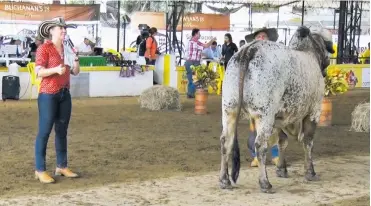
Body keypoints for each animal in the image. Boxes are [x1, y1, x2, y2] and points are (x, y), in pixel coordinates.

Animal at [219, 26, 336, 193]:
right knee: (260, 144)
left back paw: (224, 180)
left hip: (230, 109)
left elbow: (282, 142)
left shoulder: (280, 117)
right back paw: (265, 183)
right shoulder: (314, 111)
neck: (308, 52)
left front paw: (281, 169)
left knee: (226, 141)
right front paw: (310, 172)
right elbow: (308, 141)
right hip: (264, 114)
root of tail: (250, 49)